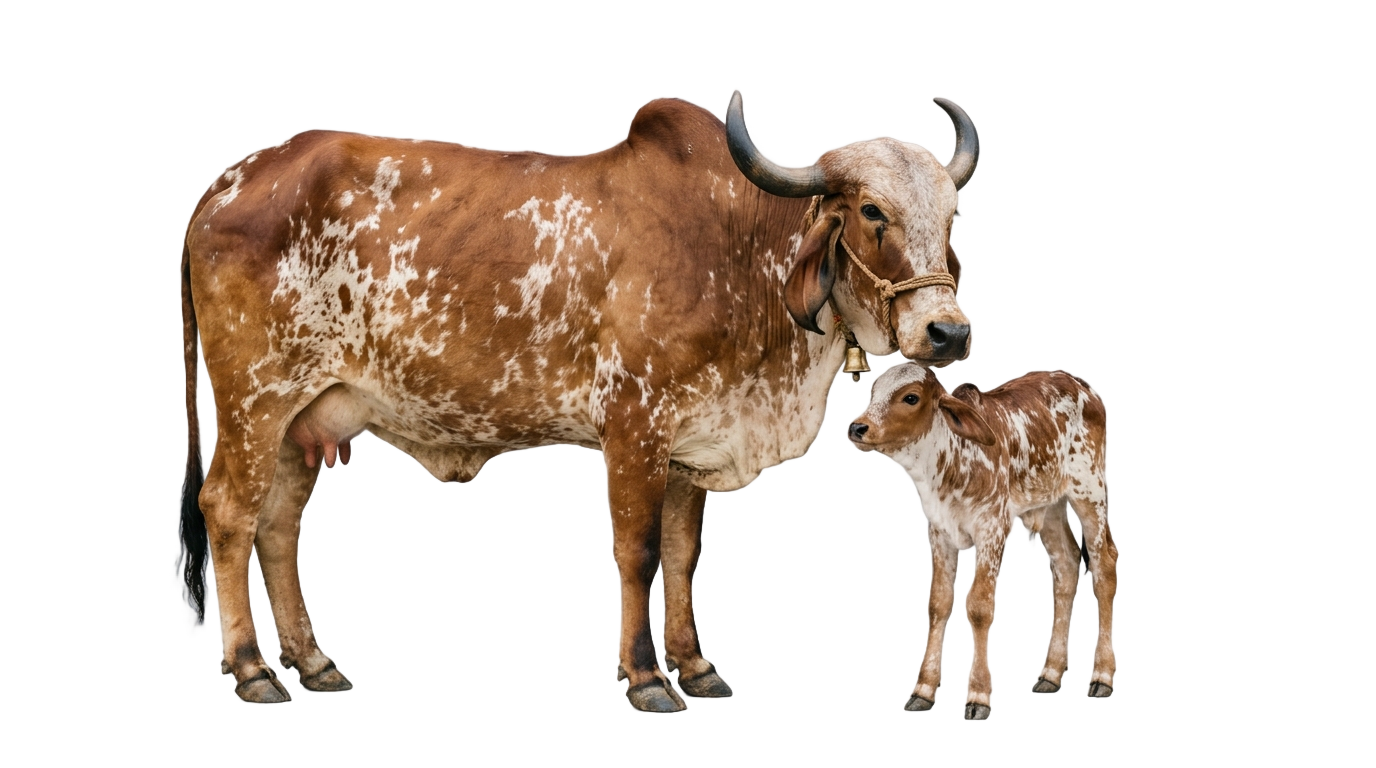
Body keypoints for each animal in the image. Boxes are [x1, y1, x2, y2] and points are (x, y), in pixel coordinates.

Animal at [175, 90, 978, 711]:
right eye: (871, 211)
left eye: (952, 216)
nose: (948, 330)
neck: (738, 250)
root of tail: (227, 185)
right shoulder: (634, 425)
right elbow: (639, 552)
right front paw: (647, 678)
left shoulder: (692, 442)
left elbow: (682, 553)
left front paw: (695, 667)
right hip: (255, 398)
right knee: (229, 512)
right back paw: (250, 671)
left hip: (303, 417)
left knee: (278, 525)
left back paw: (312, 665)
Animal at [847, 364, 1116, 720]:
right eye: (874, 393)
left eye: (911, 397)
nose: (857, 427)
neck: (950, 463)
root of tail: (1078, 384)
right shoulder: (940, 530)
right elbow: (938, 603)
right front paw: (924, 689)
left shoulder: (993, 527)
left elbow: (978, 607)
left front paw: (977, 694)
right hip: (1048, 506)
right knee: (1067, 567)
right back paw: (1051, 672)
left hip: (1090, 491)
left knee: (1104, 569)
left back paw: (1102, 676)